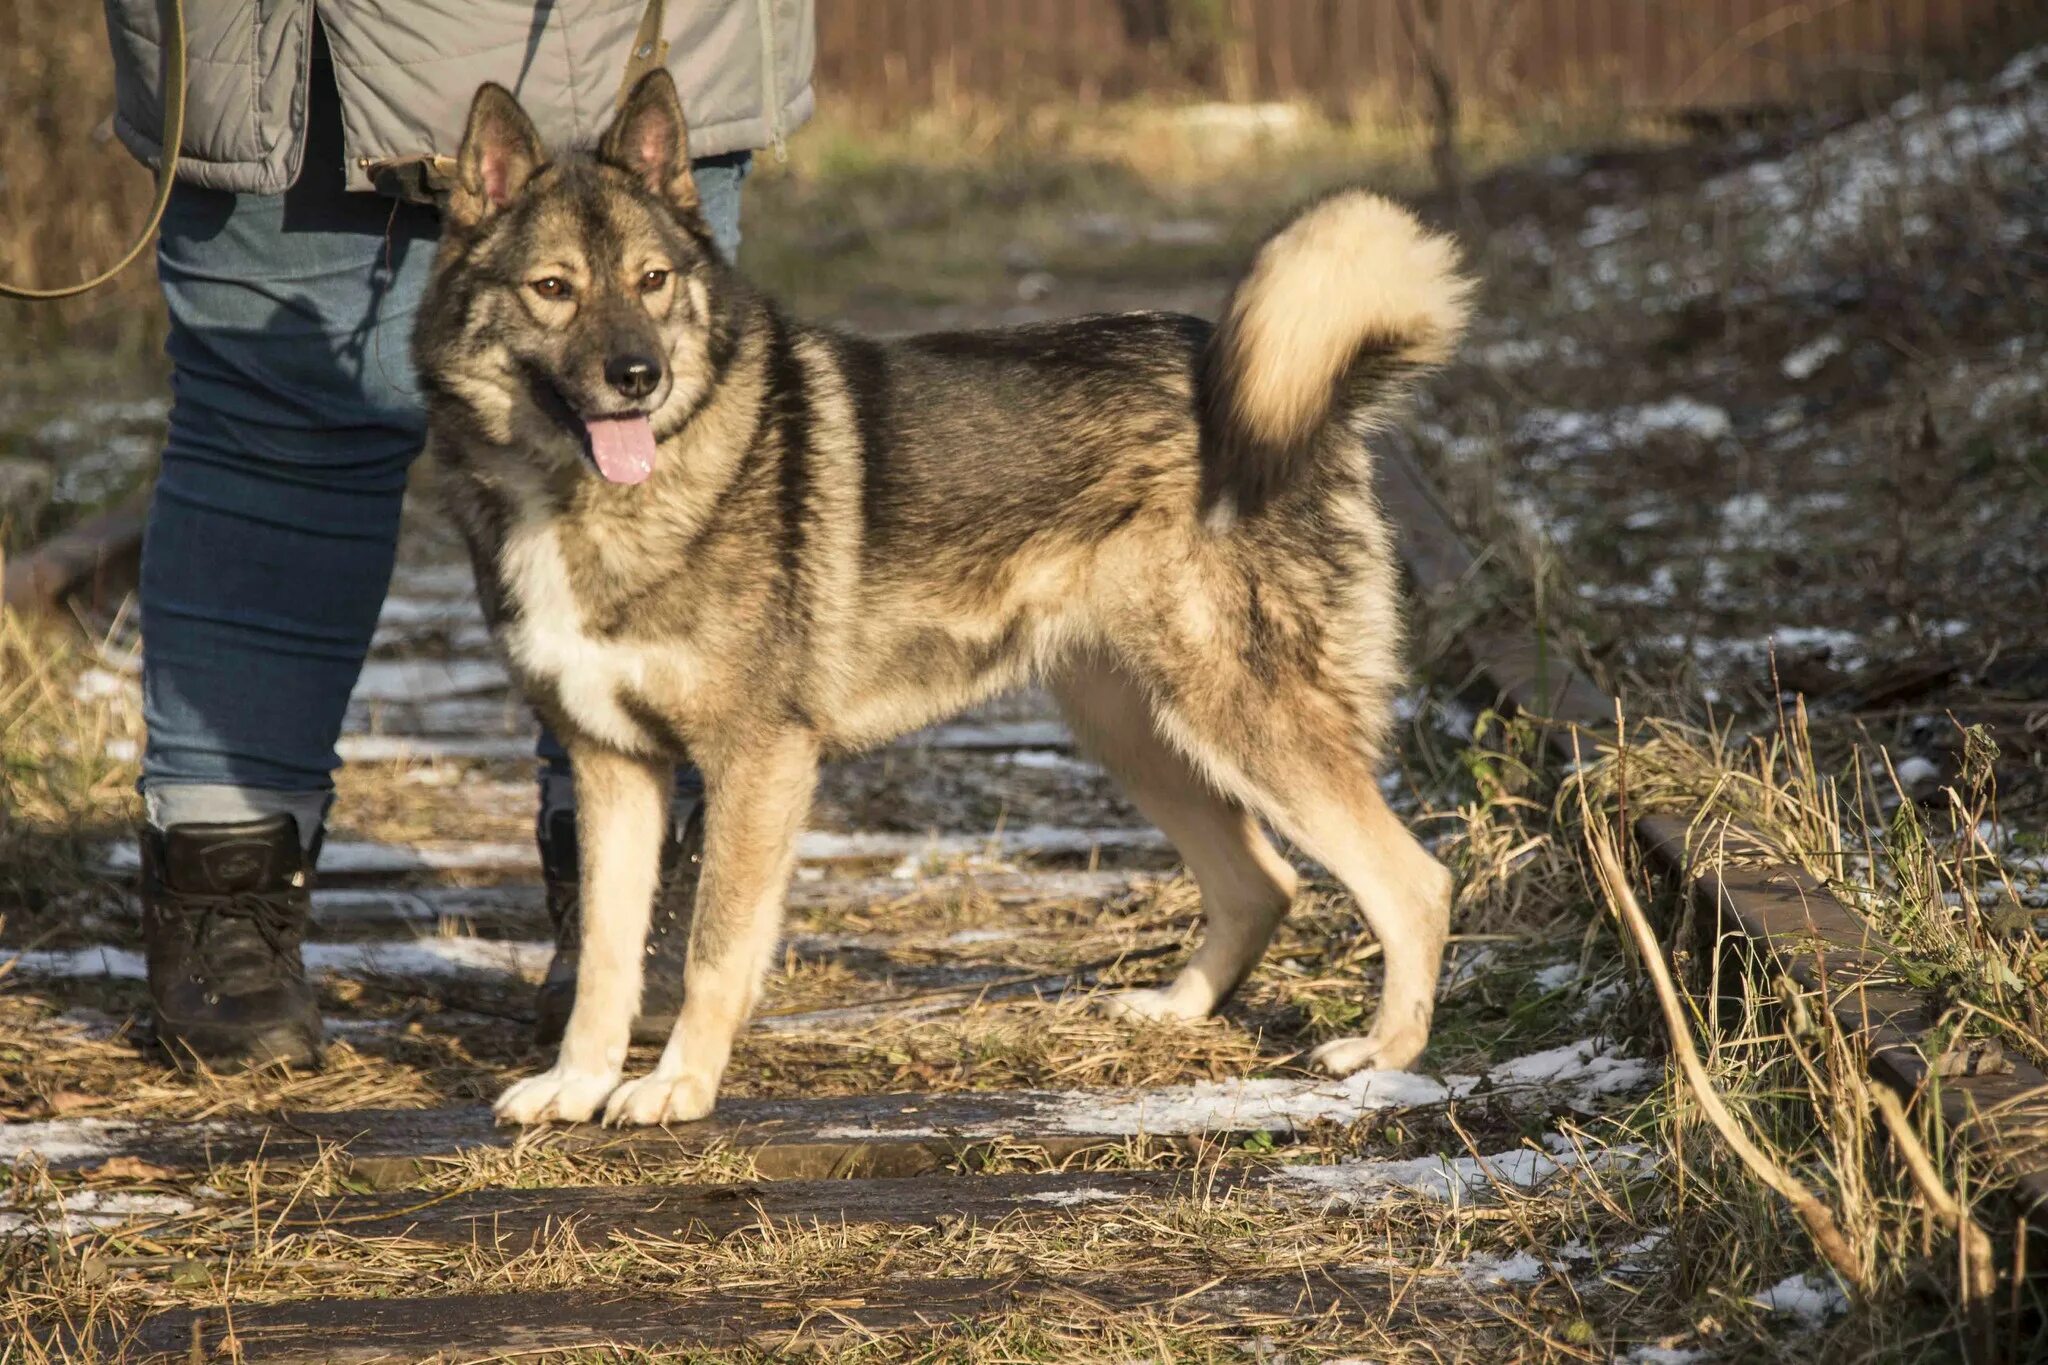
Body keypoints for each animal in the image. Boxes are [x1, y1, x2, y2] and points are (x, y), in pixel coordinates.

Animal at [419, 69, 1474, 1129]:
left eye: (653, 281)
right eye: (553, 288)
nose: (640, 376)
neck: (583, 498)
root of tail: (1291, 397)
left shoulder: (757, 762)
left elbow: (714, 950)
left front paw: (678, 1083)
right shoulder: (611, 766)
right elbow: (605, 956)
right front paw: (578, 1082)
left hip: (1242, 722)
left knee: (1415, 882)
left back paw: (1384, 1054)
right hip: (1141, 731)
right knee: (1264, 882)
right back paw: (1174, 1008)